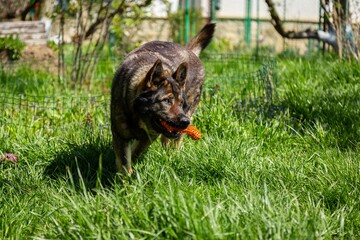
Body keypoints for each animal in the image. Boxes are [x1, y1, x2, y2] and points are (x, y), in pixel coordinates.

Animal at [111, 22, 215, 174]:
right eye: (166, 101)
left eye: (182, 103)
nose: (185, 122)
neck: (138, 115)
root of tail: (189, 50)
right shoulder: (120, 136)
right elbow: (125, 162)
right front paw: (125, 178)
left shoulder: (149, 136)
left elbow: (136, 152)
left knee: (174, 142)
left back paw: (172, 156)